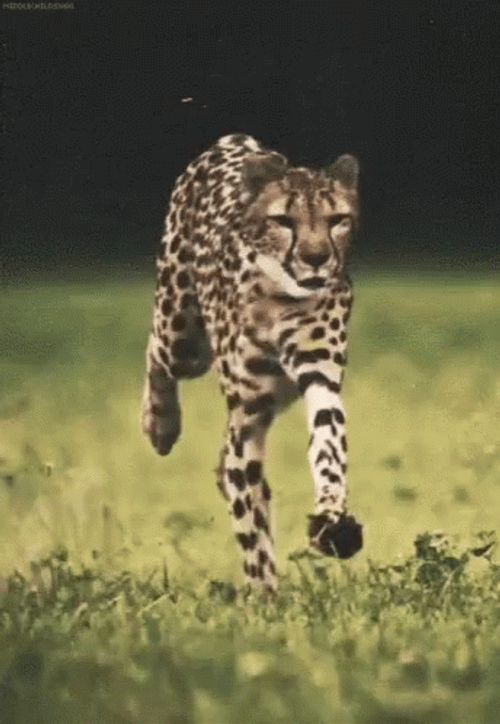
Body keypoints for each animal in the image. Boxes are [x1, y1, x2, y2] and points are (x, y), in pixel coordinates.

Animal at [141, 133, 363, 593]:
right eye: (284, 220)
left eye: (337, 219)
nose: (317, 257)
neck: (282, 294)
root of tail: (235, 140)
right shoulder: (248, 414)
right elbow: (252, 529)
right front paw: (264, 597)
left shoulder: (320, 379)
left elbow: (328, 451)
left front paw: (333, 522)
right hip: (182, 336)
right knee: (157, 348)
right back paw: (160, 423)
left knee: (225, 463)